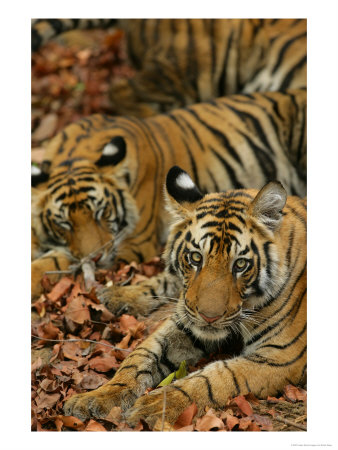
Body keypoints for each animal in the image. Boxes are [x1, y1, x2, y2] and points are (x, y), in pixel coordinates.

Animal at [32, 89, 306, 298]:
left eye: (101, 212)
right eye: (64, 223)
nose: (97, 257)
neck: (77, 155)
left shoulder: (135, 242)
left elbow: (61, 258)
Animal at [63, 166, 306, 426]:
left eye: (240, 264)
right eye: (196, 258)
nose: (209, 318)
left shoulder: (280, 356)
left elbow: (216, 377)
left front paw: (157, 405)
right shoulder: (184, 322)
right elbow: (139, 357)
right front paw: (96, 397)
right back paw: (115, 295)